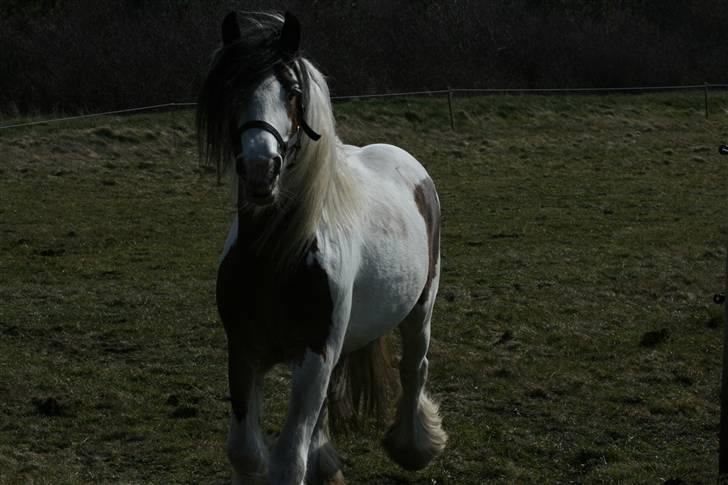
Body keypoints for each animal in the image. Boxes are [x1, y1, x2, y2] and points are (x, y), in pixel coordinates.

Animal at [196, 12, 446, 484]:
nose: (261, 168)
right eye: (232, 89)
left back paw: (413, 446)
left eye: (293, 94)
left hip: (420, 307)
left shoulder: (314, 356)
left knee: (414, 367)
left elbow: (288, 461)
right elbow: (245, 453)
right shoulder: (243, 351)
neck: (276, 256)